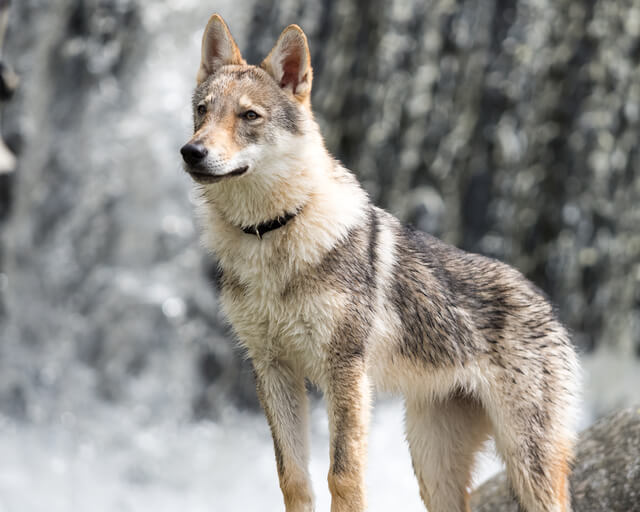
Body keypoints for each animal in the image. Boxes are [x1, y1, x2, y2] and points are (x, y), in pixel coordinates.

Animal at [179, 15, 580, 512]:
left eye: (249, 116)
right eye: (202, 111)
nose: (191, 152)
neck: (271, 233)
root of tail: (543, 299)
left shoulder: (345, 371)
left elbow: (343, 476)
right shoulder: (273, 370)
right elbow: (293, 479)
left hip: (527, 465)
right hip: (433, 467)